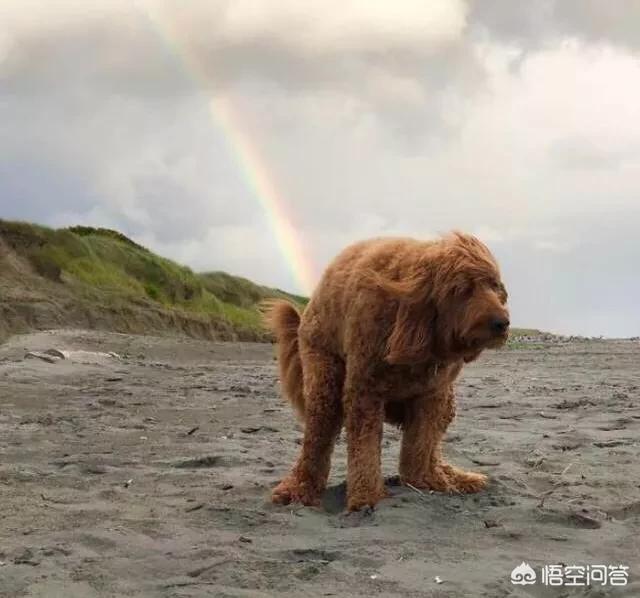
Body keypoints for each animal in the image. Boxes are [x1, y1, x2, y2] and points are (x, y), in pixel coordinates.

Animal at [262, 232, 508, 512]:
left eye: (494, 285)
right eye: (462, 289)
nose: (502, 323)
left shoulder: (432, 394)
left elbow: (422, 443)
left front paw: (425, 480)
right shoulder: (365, 390)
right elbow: (365, 446)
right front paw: (366, 497)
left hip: (446, 401)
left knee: (431, 446)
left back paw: (448, 476)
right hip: (323, 370)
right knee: (318, 432)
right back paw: (299, 489)